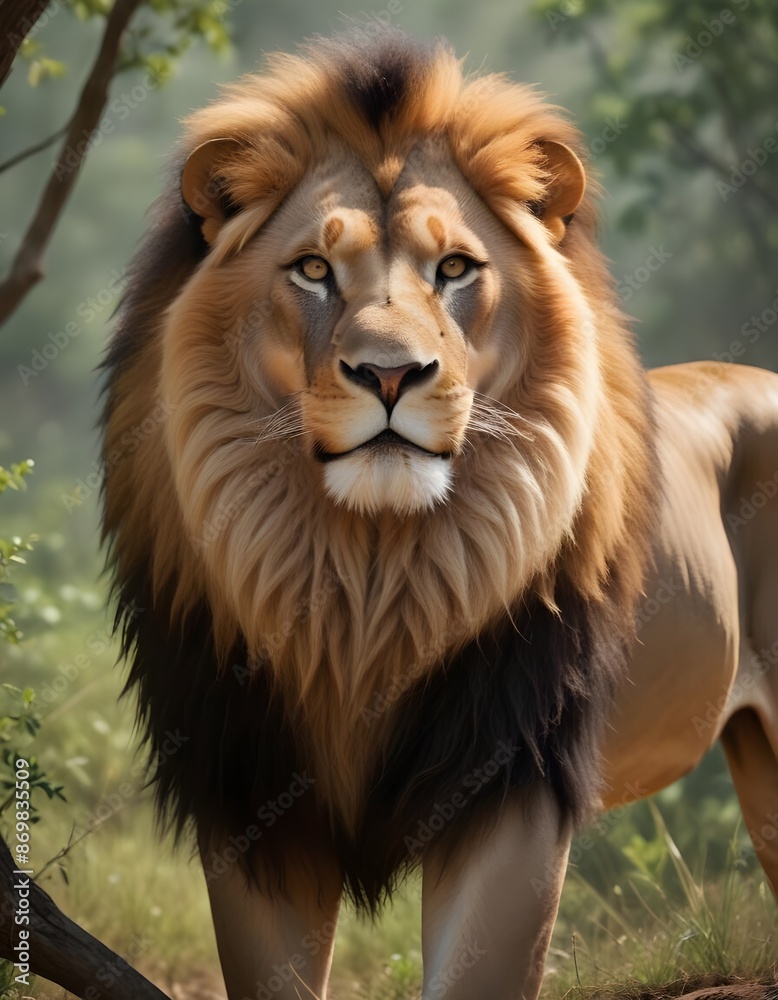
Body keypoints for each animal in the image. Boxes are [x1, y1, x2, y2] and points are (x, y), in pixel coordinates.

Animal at [101, 29, 778, 1000]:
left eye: (454, 268)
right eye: (314, 269)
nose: (390, 374)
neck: (369, 583)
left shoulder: (513, 779)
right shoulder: (249, 790)